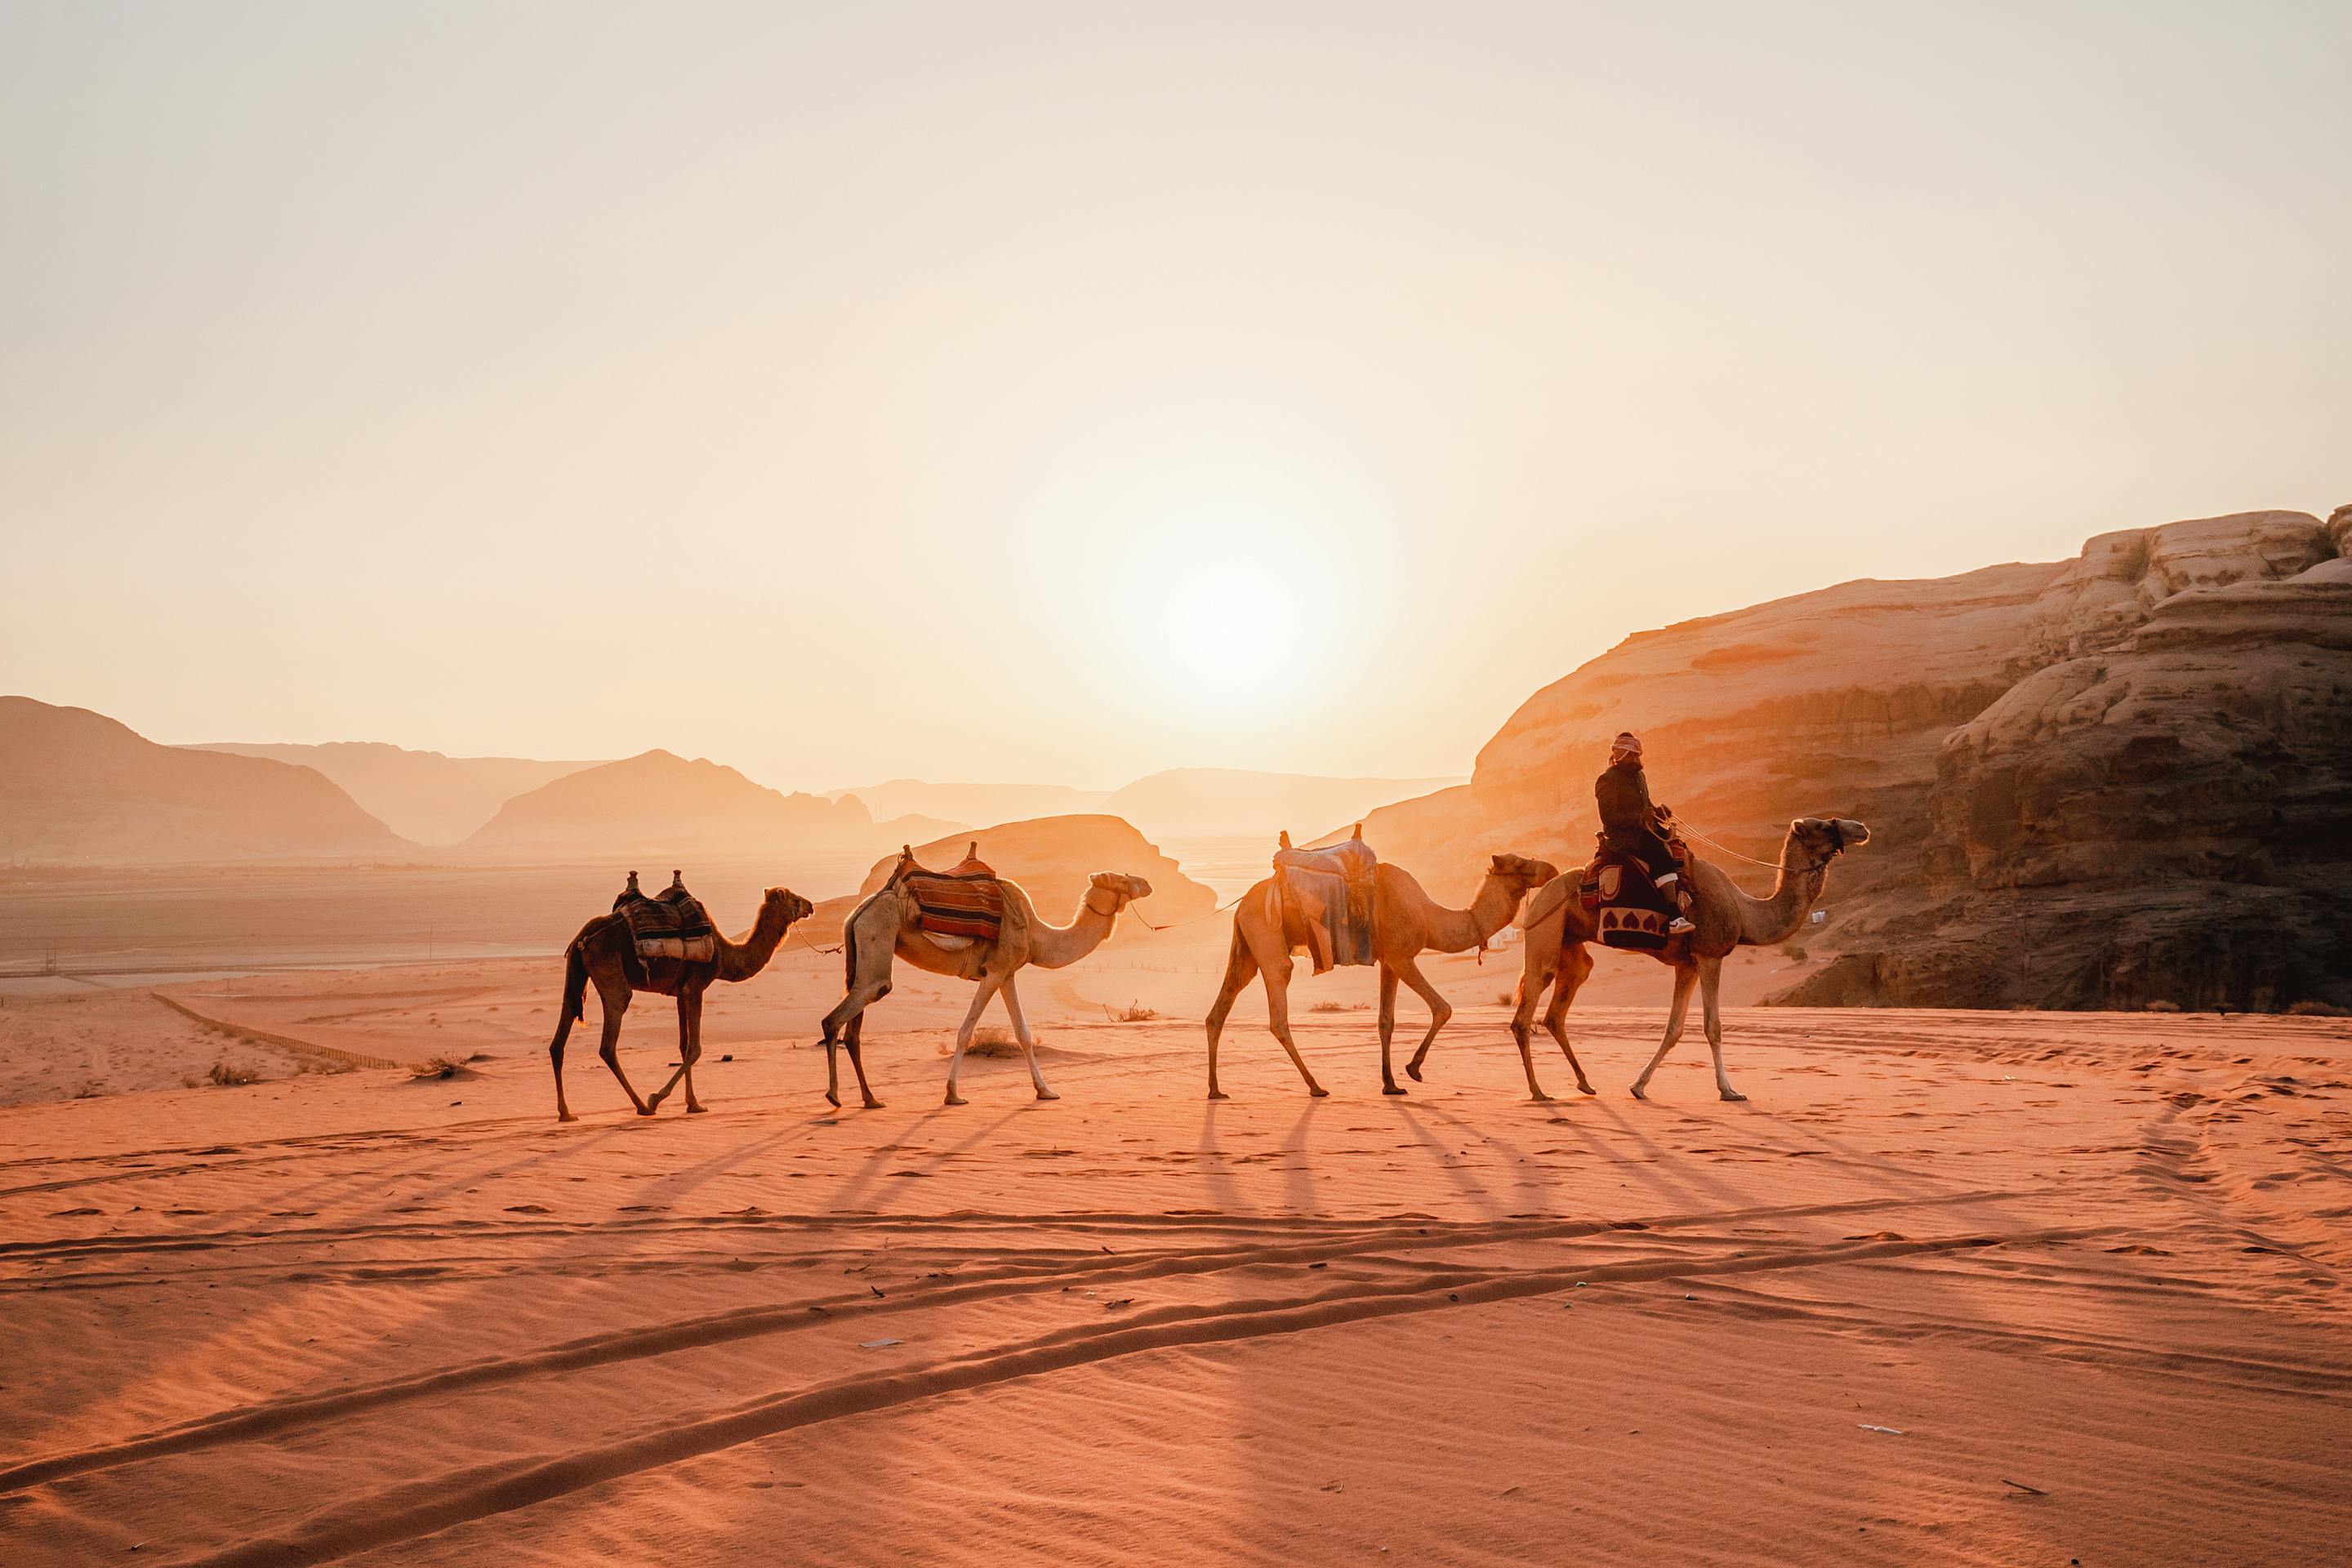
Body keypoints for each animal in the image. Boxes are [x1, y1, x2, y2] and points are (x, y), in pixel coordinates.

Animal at [548, 885, 815, 1122]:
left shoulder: (680, 993)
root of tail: (583, 938)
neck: (724, 954)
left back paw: (566, 1113)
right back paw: (643, 1106)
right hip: (611, 975)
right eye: (794, 899)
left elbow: (683, 1045)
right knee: (608, 1044)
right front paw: (657, 1098)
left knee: (559, 1039)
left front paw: (694, 1104)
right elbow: (695, 1048)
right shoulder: (695, 987)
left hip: (576, 975)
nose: (810, 905)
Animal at [817, 870, 1154, 1109]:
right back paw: (835, 1095)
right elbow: (966, 1030)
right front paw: (952, 1094)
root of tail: (858, 911)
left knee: (854, 1027)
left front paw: (1045, 1091)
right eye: (1122, 878)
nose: (1148, 883)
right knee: (839, 1016)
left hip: (862, 955)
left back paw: (870, 1099)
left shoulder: (1008, 974)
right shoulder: (994, 972)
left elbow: (1023, 1034)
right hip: (878, 937)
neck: (1036, 934)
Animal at [1204, 853, 1559, 1099]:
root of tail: (1241, 906)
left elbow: (1386, 1021)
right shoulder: (1403, 956)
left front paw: (1391, 1084)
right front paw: (1413, 1070)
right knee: (1278, 1010)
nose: (1552, 870)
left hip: (1247, 949)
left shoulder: (1388, 961)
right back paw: (1316, 1086)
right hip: (1268, 937)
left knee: (1219, 1009)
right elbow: (1442, 1008)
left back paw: (1215, 1090)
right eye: (1520, 863)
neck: (1430, 918)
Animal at [1502, 817, 1869, 1103]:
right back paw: (1538, 1091)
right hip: (1546, 930)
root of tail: (1539, 895)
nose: (1861, 828)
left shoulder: (1687, 964)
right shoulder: (1709, 955)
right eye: (1822, 825)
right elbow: (1713, 1026)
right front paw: (1729, 1090)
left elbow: (1674, 1028)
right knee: (1526, 1010)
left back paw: (1584, 1083)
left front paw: (1639, 1086)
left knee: (1558, 1009)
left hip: (1571, 943)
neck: (1745, 912)